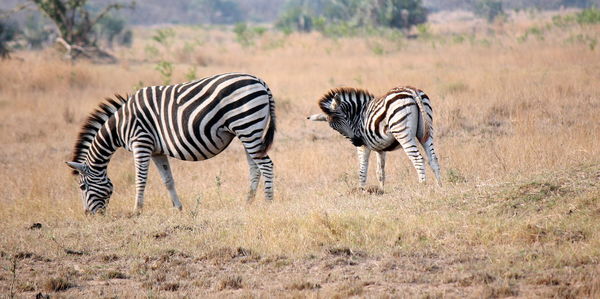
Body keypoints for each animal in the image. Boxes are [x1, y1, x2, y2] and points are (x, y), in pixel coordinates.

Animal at [65, 72, 276, 213]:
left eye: (82, 187)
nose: (89, 215)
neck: (119, 125)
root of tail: (260, 81)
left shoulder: (141, 142)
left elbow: (140, 179)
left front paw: (136, 211)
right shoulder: (157, 151)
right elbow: (168, 180)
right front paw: (178, 208)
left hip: (247, 126)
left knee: (266, 165)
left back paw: (268, 203)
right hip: (248, 131)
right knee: (255, 167)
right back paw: (248, 203)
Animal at [310, 85, 440, 191]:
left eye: (345, 117)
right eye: (335, 129)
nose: (357, 141)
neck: (358, 115)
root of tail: (412, 91)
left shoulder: (363, 147)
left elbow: (362, 170)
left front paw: (361, 191)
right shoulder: (380, 149)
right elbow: (380, 172)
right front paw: (381, 191)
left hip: (403, 133)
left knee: (418, 159)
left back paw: (422, 186)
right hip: (426, 131)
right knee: (433, 159)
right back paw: (440, 186)